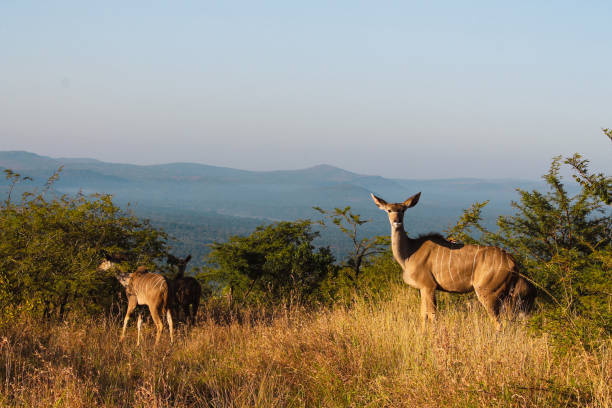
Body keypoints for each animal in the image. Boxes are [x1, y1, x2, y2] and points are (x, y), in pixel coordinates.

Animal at [370, 193, 532, 330]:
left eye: (403, 210)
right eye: (389, 210)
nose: (396, 221)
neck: (410, 252)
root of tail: (512, 262)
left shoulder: (428, 286)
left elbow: (432, 316)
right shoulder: (422, 289)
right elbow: (423, 316)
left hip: (488, 292)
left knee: (498, 323)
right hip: (506, 296)